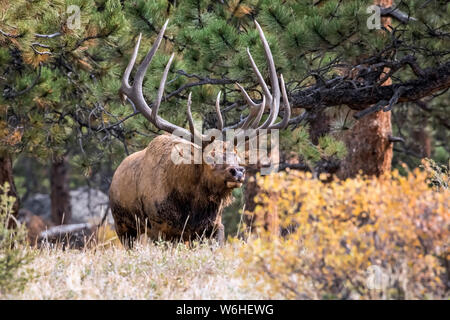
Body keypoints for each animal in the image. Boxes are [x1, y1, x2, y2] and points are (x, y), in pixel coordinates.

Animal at [109, 20, 292, 246]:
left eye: (238, 155)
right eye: (210, 156)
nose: (238, 172)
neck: (191, 209)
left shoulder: (214, 227)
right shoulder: (158, 227)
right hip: (122, 225)